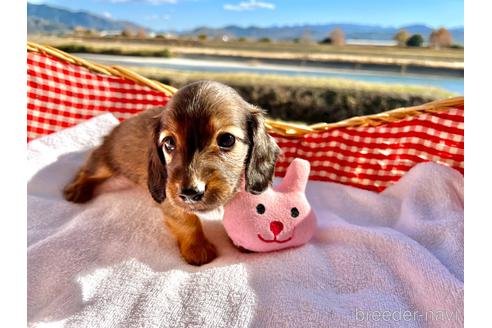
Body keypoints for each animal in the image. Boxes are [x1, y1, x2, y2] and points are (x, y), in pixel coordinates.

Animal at [62, 80, 280, 266]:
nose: (190, 193)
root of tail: (113, 130)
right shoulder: (170, 197)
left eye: (227, 139)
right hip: (105, 163)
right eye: (169, 142)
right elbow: (187, 220)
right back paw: (77, 190)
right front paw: (197, 248)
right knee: (86, 170)